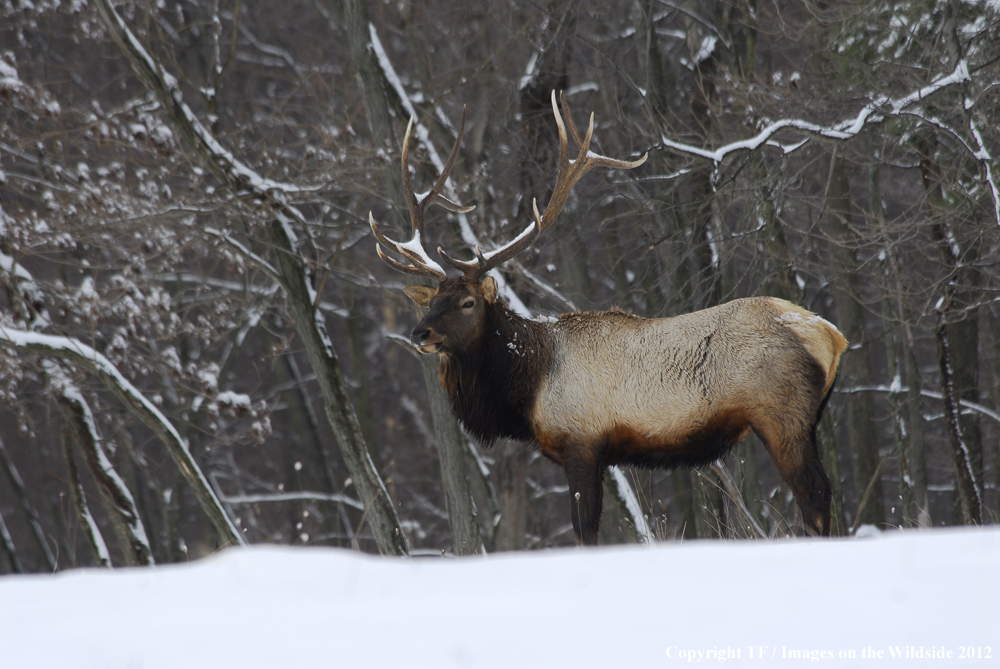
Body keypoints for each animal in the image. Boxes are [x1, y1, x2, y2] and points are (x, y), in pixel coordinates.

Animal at [372, 92, 848, 544]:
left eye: (468, 302)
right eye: (431, 301)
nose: (420, 332)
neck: (527, 387)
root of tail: (831, 335)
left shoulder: (581, 441)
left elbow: (585, 529)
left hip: (781, 414)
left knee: (815, 494)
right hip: (809, 417)